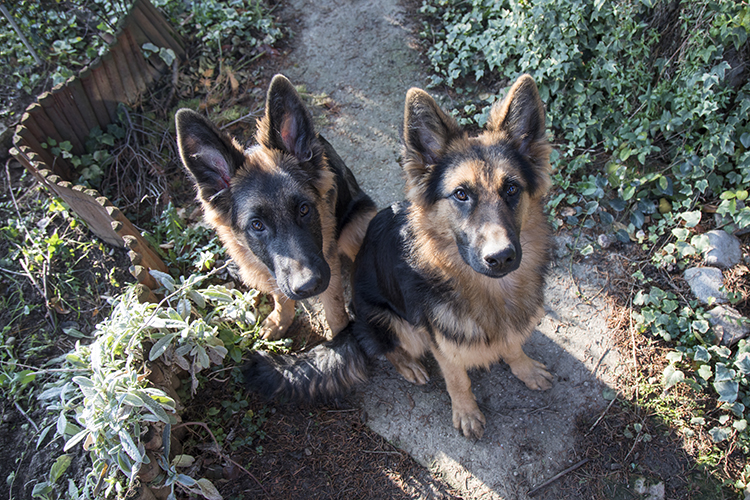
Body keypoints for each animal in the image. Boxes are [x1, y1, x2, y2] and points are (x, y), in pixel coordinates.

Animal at [175, 74, 376, 340]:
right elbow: (281, 295)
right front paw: (282, 320)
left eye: (304, 209)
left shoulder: (328, 259)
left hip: (355, 227)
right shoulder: (269, 267)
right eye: (257, 225)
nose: (308, 286)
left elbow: (334, 309)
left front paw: (342, 339)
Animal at [244, 74, 556, 438]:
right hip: (392, 321)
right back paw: (407, 364)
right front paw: (466, 411)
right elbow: (457, 378)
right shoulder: (439, 341)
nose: (501, 257)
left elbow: (512, 345)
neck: (489, 291)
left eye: (512, 189)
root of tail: (357, 324)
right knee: (388, 348)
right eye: (461, 194)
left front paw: (524, 368)